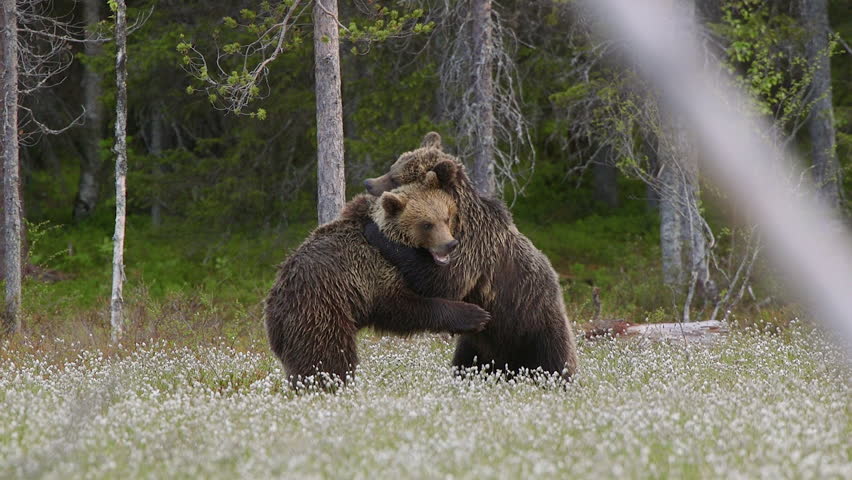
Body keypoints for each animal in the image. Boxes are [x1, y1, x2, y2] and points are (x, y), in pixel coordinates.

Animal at [262, 171, 490, 388]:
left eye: (446, 217)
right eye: (426, 224)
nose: (450, 244)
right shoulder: (372, 271)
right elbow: (403, 307)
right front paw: (475, 315)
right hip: (321, 311)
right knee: (328, 358)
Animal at [364, 133, 580, 380]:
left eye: (395, 177)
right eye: (392, 167)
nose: (368, 183)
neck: (456, 220)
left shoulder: (472, 250)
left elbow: (443, 281)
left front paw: (374, 230)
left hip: (534, 326)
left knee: (554, 362)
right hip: (479, 343)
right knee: (466, 363)